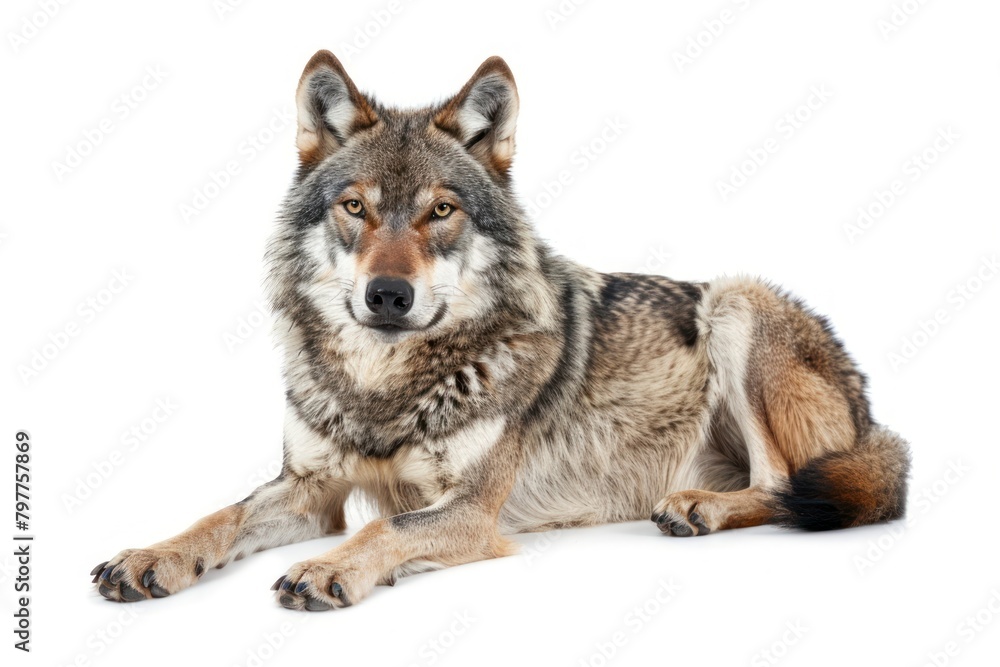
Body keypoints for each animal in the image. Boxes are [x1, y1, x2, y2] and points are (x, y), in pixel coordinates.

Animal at [91, 51, 910, 610]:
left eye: (441, 210)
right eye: (356, 207)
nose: (388, 295)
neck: (384, 384)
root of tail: (873, 415)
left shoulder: (471, 510)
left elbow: (384, 530)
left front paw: (329, 569)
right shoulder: (311, 490)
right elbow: (218, 514)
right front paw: (151, 555)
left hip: (736, 305)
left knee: (784, 484)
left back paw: (697, 508)